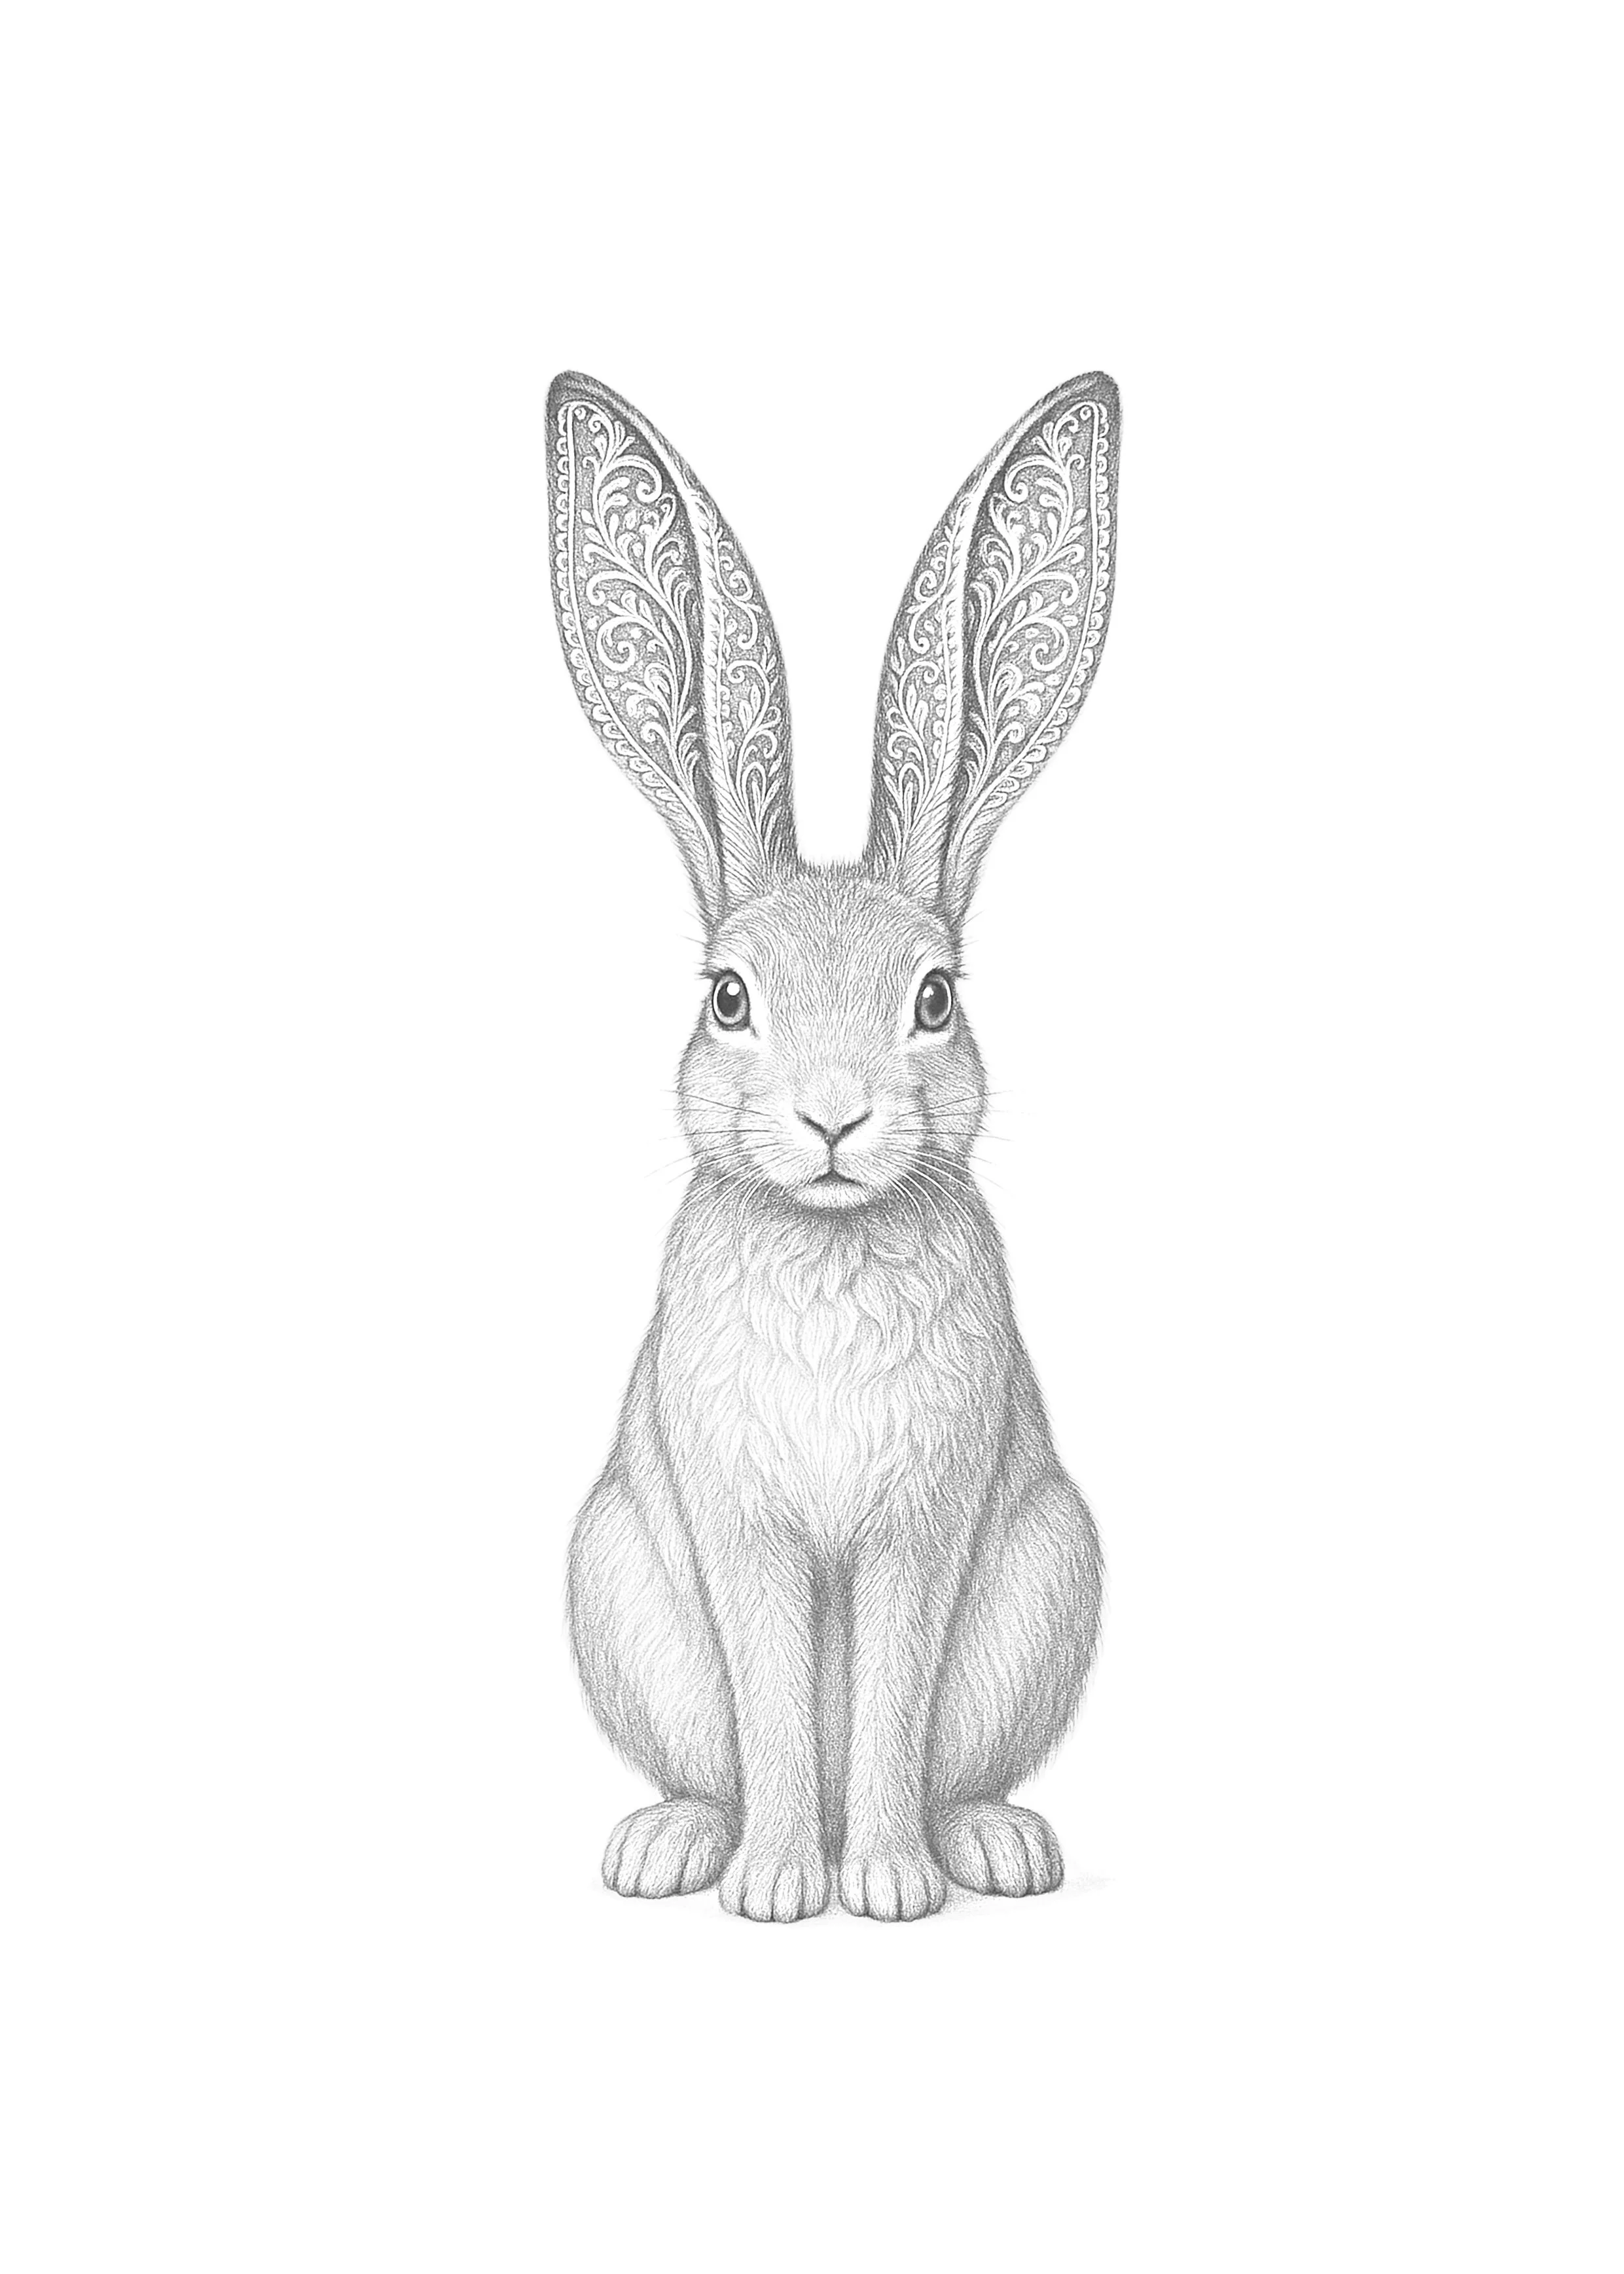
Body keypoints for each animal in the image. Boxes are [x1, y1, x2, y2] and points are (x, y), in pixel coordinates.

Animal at [547, 368, 1118, 1920]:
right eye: (729, 999)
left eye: (933, 1000)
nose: (833, 1115)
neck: (829, 1240)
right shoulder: (738, 1523)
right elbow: (775, 1693)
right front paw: (778, 1886)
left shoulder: (923, 1523)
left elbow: (888, 1690)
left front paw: (885, 1883)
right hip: (617, 1581)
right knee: (717, 1757)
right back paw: (677, 1844)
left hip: (1051, 1577)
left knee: (950, 1758)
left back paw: (987, 1843)